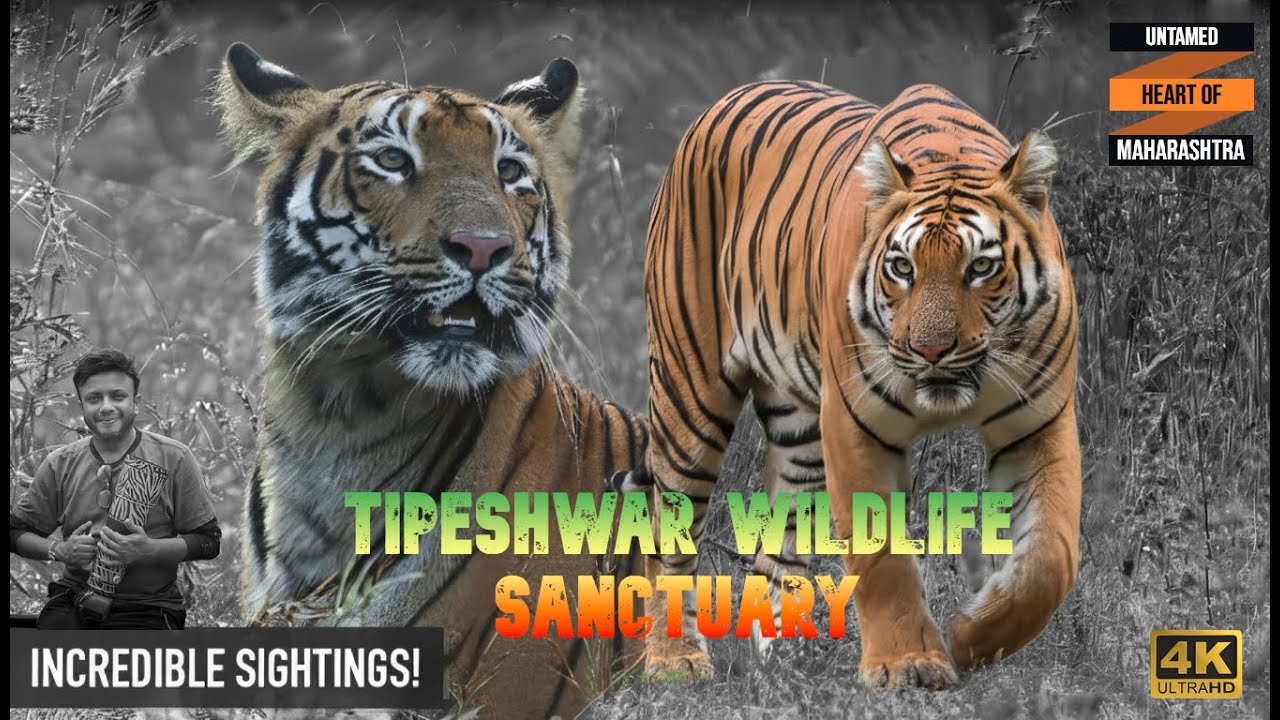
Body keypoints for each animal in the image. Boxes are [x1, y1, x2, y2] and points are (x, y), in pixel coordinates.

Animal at [641, 80, 1081, 688]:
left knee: (779, 547)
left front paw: (969, 638)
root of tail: (724, 98)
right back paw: (675, 660)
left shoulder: (1039, 422)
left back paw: (788, 664)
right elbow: (882, 560)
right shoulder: (855, 425)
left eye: (980, 268)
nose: (931, 349)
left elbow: (1047, 562)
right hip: (690, 394)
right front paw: (907, 664)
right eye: (902, 268)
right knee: (670, 524)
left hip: (799, 436)